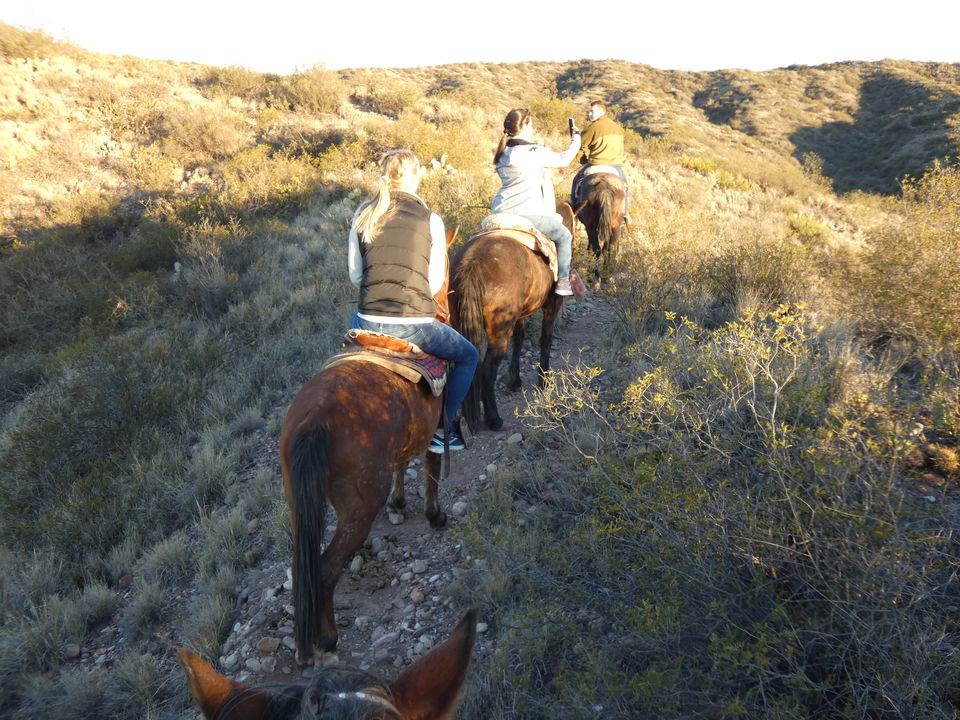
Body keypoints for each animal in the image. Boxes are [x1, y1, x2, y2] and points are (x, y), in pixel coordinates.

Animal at [280, 228, 457, 661]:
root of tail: (316, 419)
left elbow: (402, 464)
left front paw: (398, 502)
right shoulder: (436, 427)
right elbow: (430, 468)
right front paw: (434, 514)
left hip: (298, 502)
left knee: (308, 568)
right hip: (357, 509)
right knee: (327, 570)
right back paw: (327, 639)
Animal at [450, 205, 575, 432]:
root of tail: (473, 264)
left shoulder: (520, 315)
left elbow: (519, 339)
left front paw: (514, 380)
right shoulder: (550, 306)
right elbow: (546, 339)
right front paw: (544, 380)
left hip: (462, 323)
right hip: (499, 331)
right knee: (487, 370)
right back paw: (494, 419)